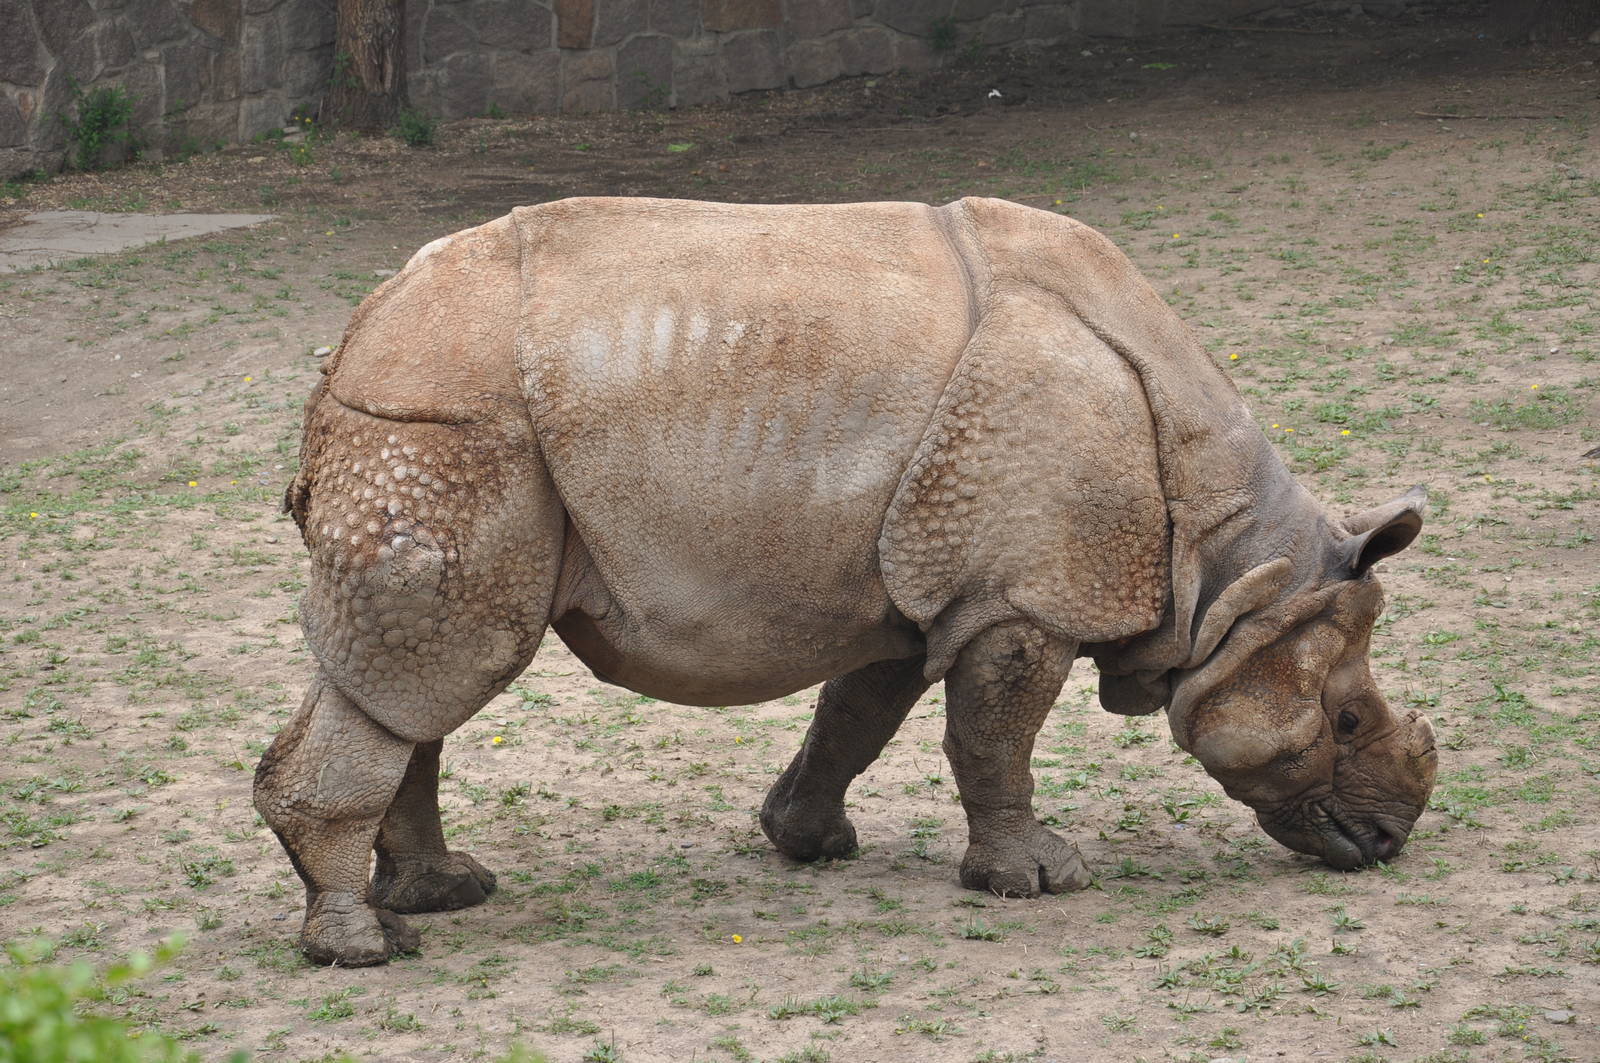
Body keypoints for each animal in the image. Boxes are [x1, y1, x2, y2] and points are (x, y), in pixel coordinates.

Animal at [255, 196, 1437, 966]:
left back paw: (442, 899)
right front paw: (1038, 879)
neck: (1234, 566)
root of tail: (358, 328)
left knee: (416, 679)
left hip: (441, 410)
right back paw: (366, 949)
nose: (1389, 843)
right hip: (451, 422)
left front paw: (807, 840)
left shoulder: (921, 590)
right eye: (1340, 723)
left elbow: (859, 717)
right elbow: (996, 735)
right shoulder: (1021, 595)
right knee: (442, 661)